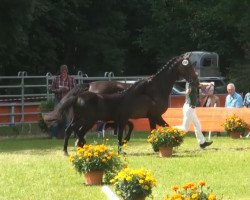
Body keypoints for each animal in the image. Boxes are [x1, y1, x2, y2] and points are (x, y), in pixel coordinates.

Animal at [44, 52, 197, 153]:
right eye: (188, 66)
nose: (196, 80)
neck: (155, 89)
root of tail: (88, 86)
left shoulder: (148, 117)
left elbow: (156, 129)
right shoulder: (154, 115)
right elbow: (160, 129)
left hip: (82, 118)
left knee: (71, 129)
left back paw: (72, 147)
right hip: (88, 119)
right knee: (76, 130)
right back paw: (76, 146)